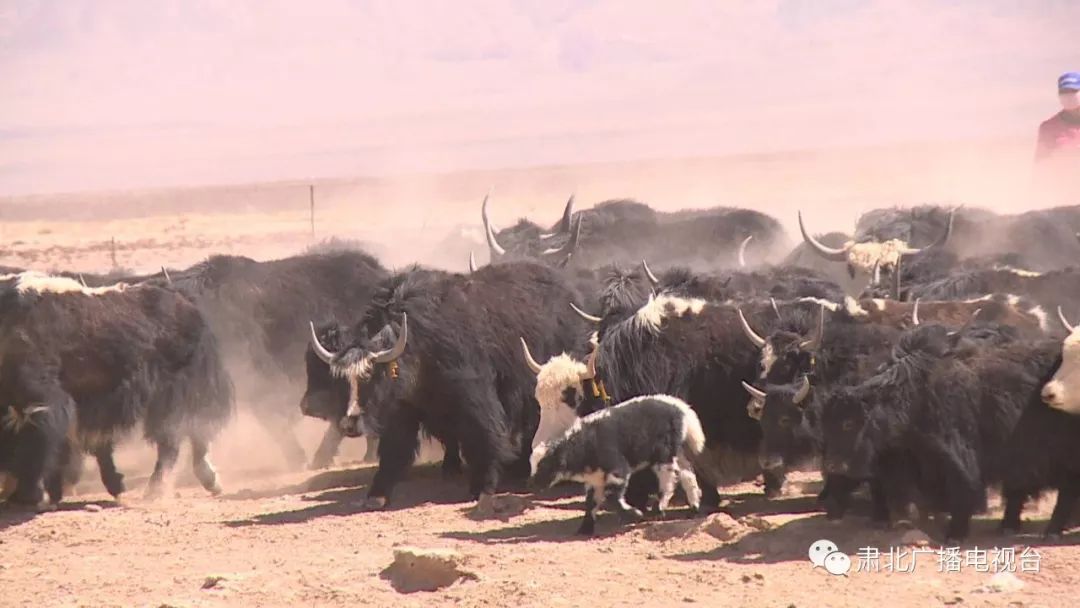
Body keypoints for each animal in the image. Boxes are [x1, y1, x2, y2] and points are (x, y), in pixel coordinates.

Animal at [0, 272, 234, 509]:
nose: (14, 494)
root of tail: (183, 299)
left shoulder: (48, 401)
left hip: (178, 394)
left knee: (177, 438)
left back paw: (160, 489)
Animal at [527, 395, 704, 533]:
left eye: (545, 465)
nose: (534, 483)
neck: (584, 444)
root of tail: (683, 409)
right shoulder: (595, 478)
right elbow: (591, 502)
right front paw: (585, 528)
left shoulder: (616, 467)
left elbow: (613, 496)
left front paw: (634, 514)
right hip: (677, 448)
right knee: (687, 474)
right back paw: (694, 508)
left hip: (664, 451)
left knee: (668, 477)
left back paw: (658, 509)